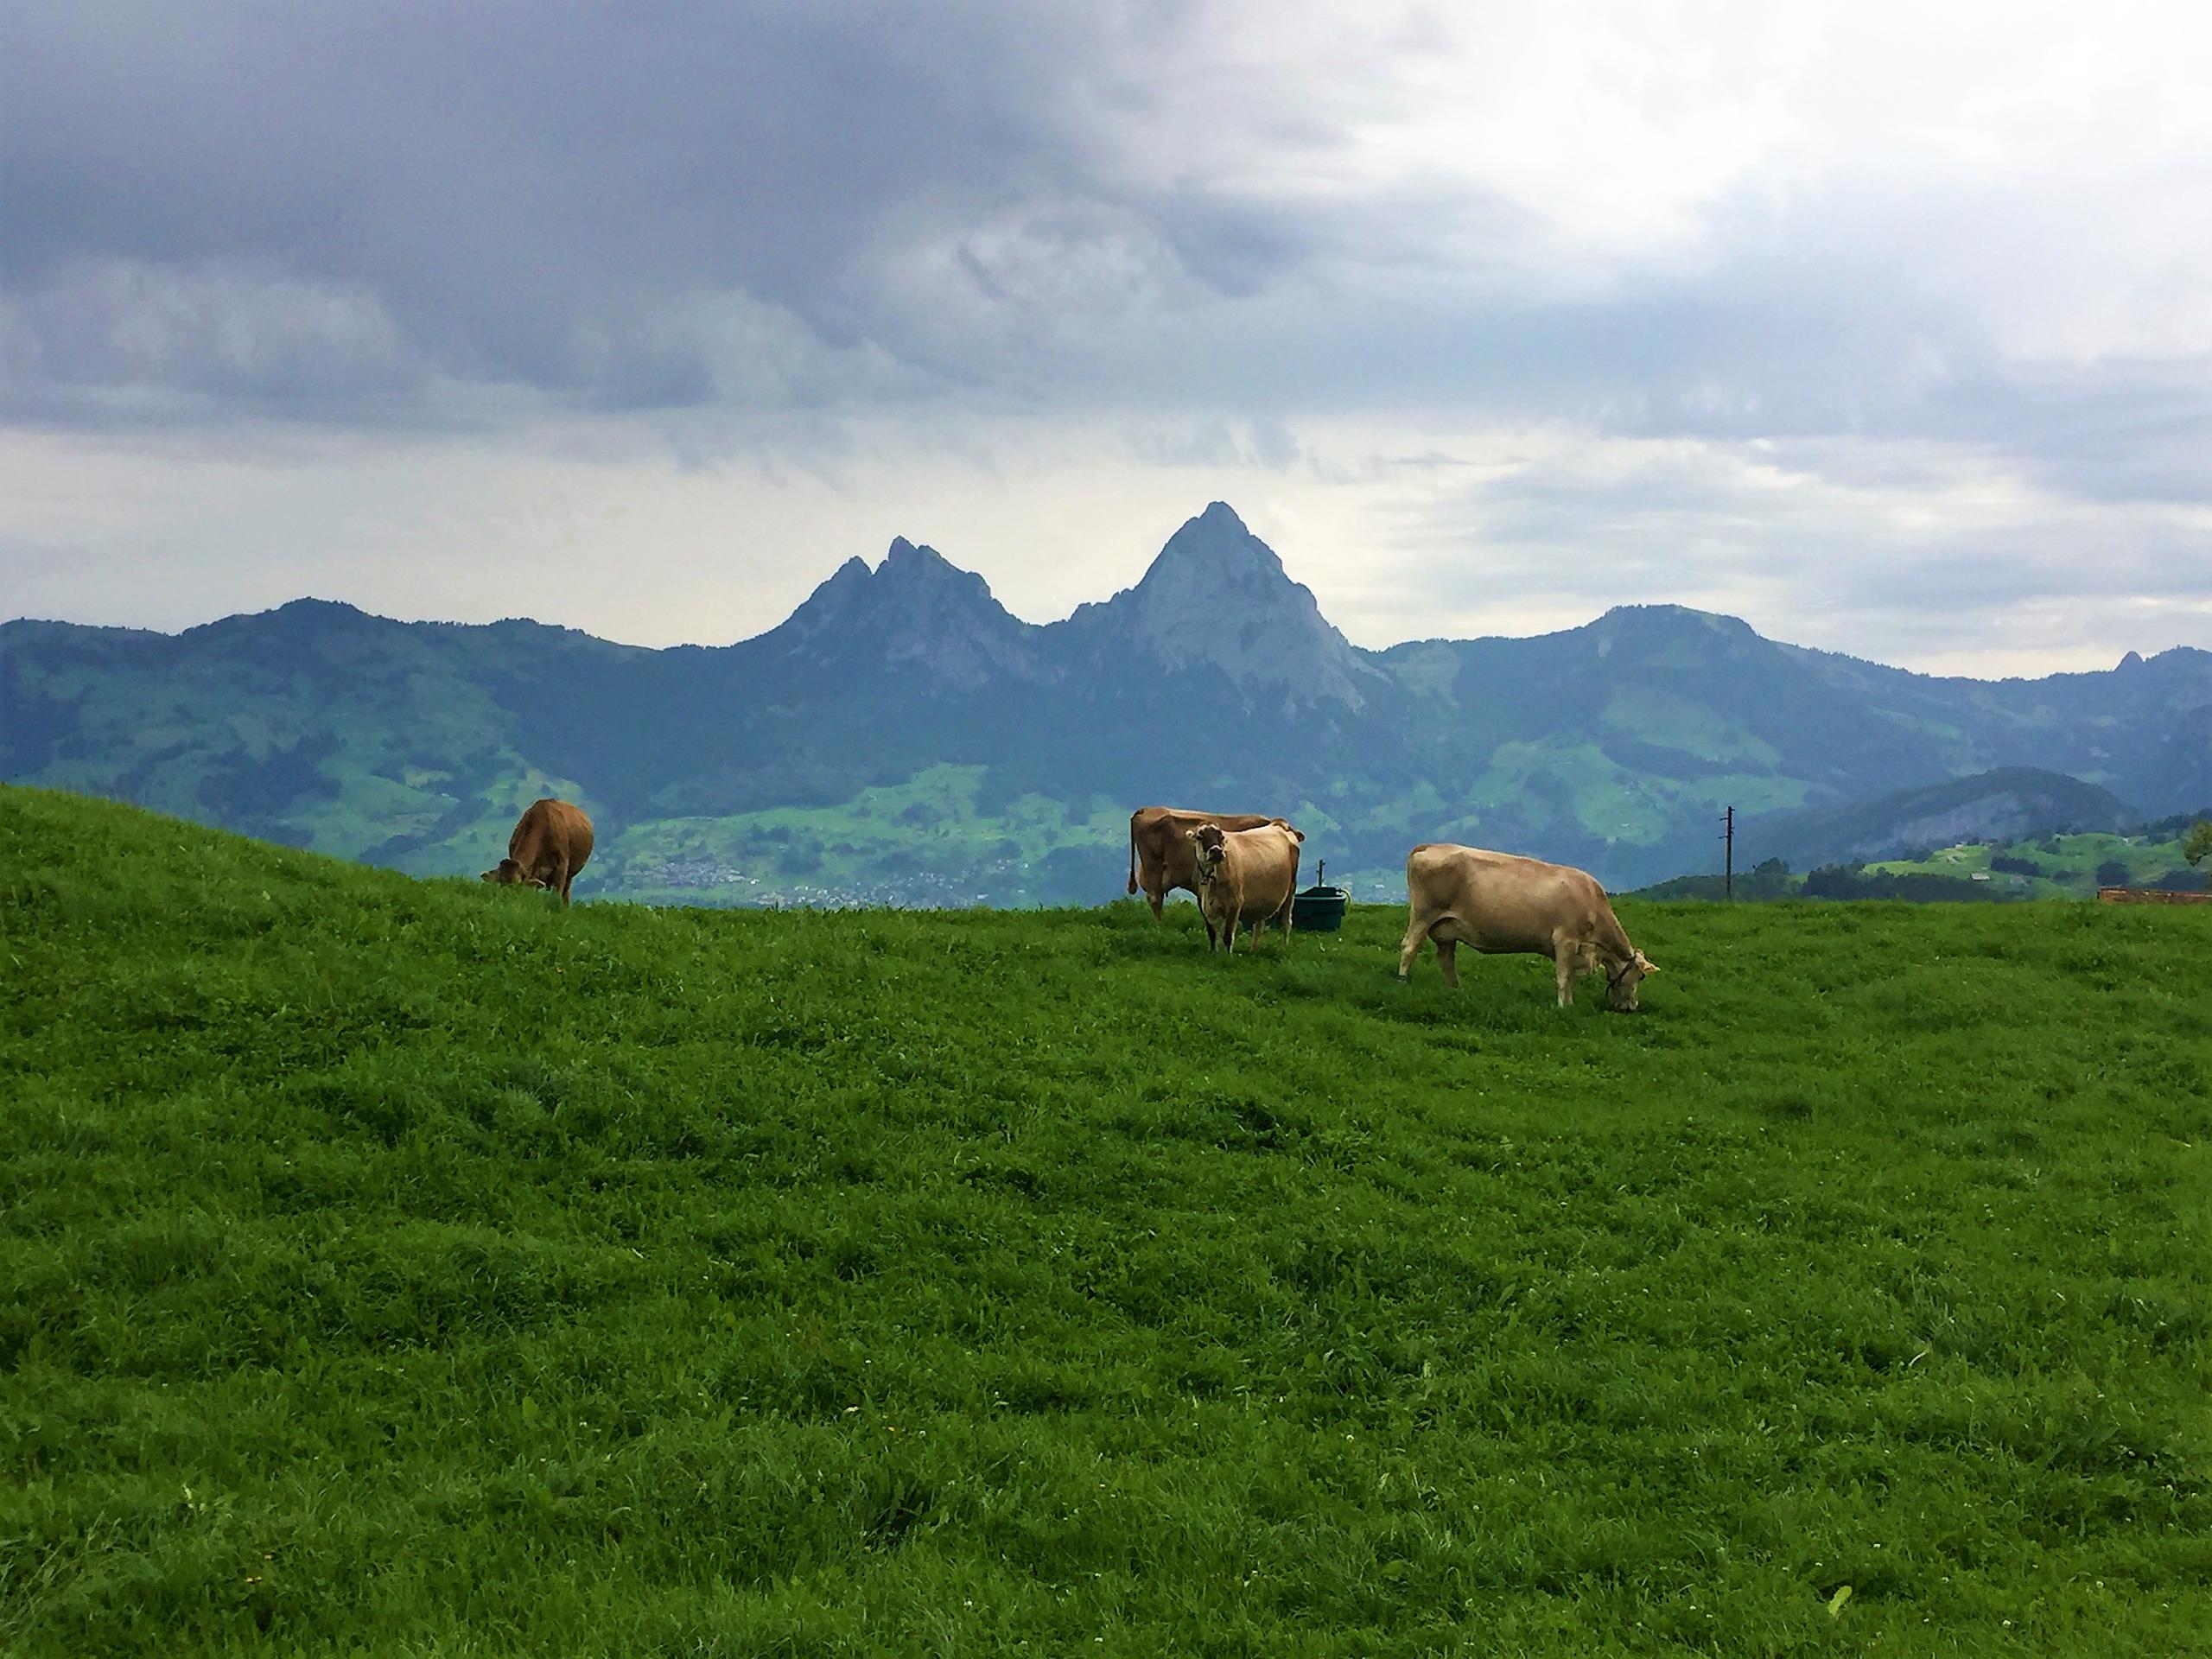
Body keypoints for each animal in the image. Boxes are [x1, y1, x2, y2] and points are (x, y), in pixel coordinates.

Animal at [480, 804, 593, 911]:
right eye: (499, 884)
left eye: (517, 886)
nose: (506, 901)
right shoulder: (533, 871)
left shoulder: (562, 865)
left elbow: (556, 895)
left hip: (570, 873)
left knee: (566, 892)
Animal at [1194, 823, 1292, 955]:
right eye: (1200, 837)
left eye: (1221, 836)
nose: (1217, 851)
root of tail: (1278, 824)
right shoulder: (1205, 905)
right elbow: (1213, 933)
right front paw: (1214, 953)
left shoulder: (1235, 903)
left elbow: (1227, 935)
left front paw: (1227, 956)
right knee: (1259, 925)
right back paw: (1253, 951)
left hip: (1291, 890)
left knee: (1285, 922)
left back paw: (1284, 948)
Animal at [1397, 844, 1663, 1013]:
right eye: (1640, 976)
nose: (1632, 1007)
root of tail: (1428, 846)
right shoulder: (1565, 940)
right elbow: (1563, 977)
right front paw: (1563, 1006)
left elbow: (1570, 978)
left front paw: (1570, 1003)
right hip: (1423, 914)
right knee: (1409, 947)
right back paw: (1402, 981)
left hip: (1446, 929)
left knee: (1446, 959)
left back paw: (1455, 990)